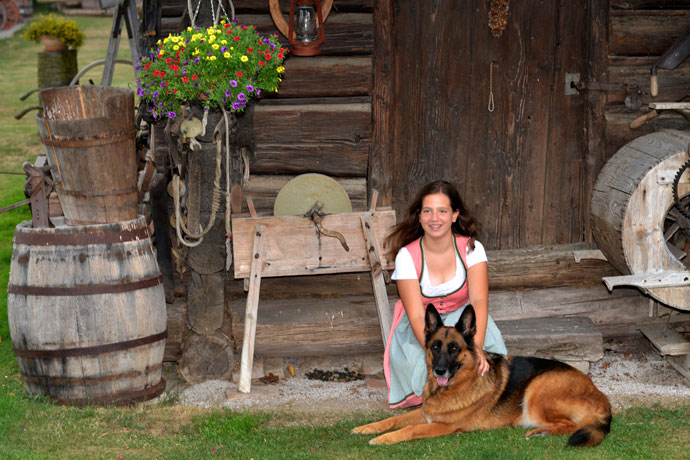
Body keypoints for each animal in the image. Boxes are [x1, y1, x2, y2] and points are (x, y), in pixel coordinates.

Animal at [352, 306, 612, 446]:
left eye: (454, 348)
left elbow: (409, 430)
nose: (439, 371)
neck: (455, 386)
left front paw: (384, 439)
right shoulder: (426, 413)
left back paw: (542, 431)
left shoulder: (442, 426)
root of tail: (598, 393)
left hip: (538, 390)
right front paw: (368, 428)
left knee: (571, 424)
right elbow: (393, 420)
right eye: (435, 347)